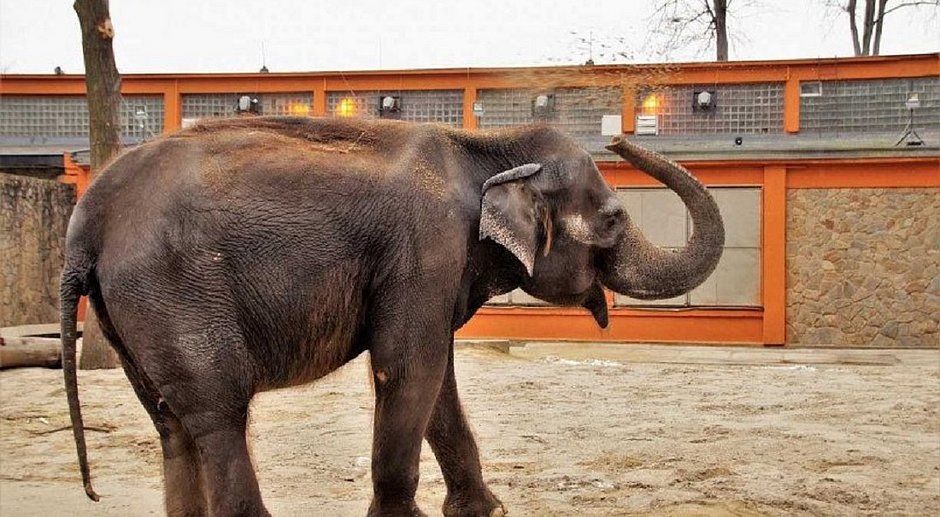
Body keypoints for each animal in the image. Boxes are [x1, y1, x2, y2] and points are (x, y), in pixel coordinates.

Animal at [59, 116, 724, 516]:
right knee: (219, 413)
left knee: (171, 423)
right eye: (613, 219)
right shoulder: (424, 247)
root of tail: (85, 222)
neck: (482, 146)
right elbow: (409, 370)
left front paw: (487, 511)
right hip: (177, 293)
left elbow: (439, 381)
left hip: (133, 315)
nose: (619, 139)